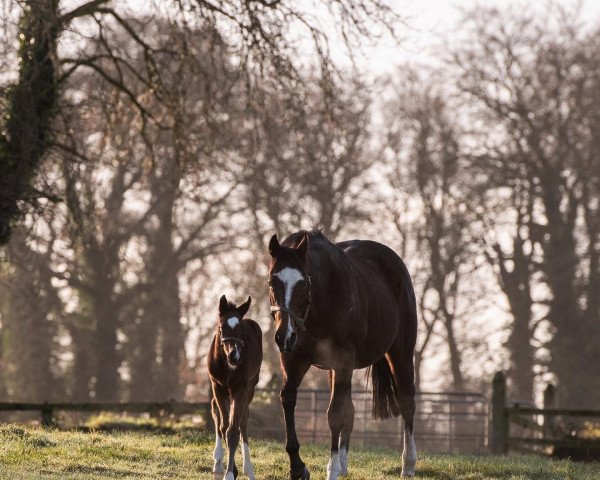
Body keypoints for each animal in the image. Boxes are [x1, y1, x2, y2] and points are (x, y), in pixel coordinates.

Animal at [207, 294, 262, 478]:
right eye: (222, 327)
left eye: (241, 330)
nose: (235, 356)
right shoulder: (217, 386)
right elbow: (224, 426)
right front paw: (227, 468)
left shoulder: (240, 388)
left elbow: (233, 430)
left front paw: (231, 473)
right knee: (215, 409)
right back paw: (218, 461)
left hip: (250, 387)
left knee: (243, 420)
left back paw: (248, 469)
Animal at [268, 231, 418, 478]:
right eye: (272, 281)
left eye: (302, 282)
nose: (284, 336)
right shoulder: (294, 359)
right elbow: (288, 400)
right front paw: (298, 467)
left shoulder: (343, 359)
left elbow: (335, 414)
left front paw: (331, 470)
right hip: (334, 369)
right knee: (351, 409)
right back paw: (344, 464)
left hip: (401, 353)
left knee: (407, 403)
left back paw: (408, 465)